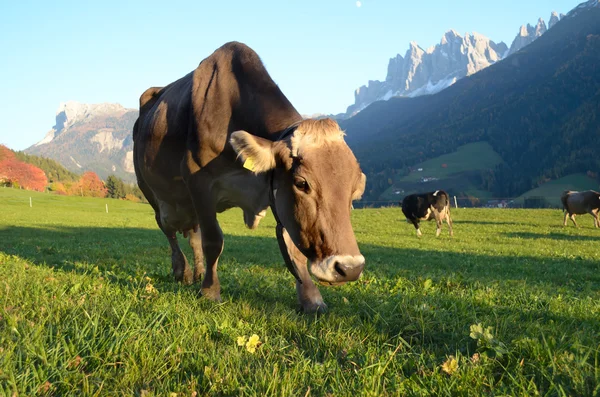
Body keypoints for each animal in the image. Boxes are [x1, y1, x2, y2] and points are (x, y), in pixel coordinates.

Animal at [133, 41, 366, 312]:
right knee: (169, 230)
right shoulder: (199, 181)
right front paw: (210, 292)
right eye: (302, 183)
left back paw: (198, 270)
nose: (349, 268)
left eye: (354, 192)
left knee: (192, 234)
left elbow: (292, 250)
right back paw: (182, 271)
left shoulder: (274, 190)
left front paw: (311, 299)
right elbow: (213, 240)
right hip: (154, 195)